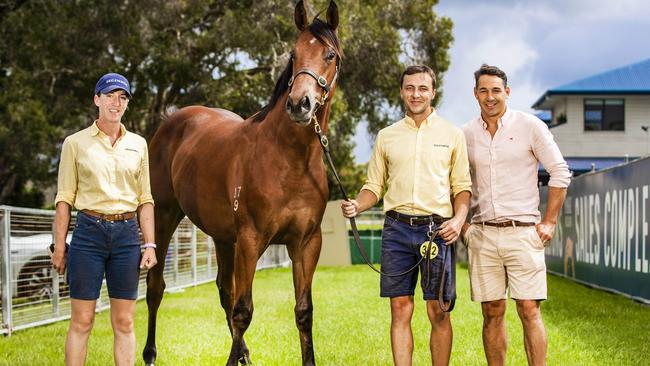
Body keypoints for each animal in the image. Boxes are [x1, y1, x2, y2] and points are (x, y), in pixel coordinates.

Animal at [142, 1, 342, 364]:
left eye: (330, 55)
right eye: (294, 54)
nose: (299, 104)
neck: (291, 159)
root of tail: (170, 121)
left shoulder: (306, 243)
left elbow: (303, 311)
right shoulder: (251, 239)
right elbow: (244, 311)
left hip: (223, 237)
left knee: (224, 290)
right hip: (164, 217)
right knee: (156, 287)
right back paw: (149, 354)